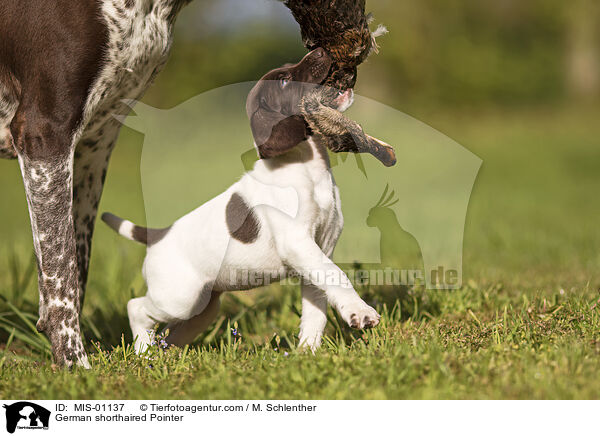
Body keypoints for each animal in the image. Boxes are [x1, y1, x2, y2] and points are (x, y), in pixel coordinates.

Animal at [102, 48, 380, 354]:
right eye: (284, 80)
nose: (319, 50)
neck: (308, 167)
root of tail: (158, 234)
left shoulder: (321, 249)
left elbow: (317, 306)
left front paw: (307, 352)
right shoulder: (298, 243)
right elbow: (337, 276)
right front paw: (360, 312)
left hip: (202, 307)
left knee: (171, 333)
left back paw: (164, 354)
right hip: (178, 298)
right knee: (136, 308)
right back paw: (143, 351)